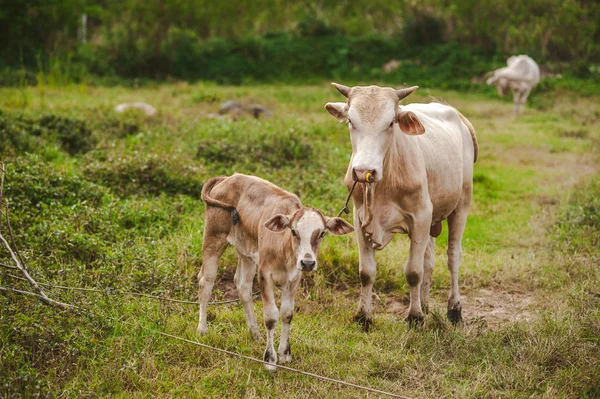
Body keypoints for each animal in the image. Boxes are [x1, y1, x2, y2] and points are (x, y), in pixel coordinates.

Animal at [326, 83, 476, 328]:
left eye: (390, 123)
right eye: (350, 120)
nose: (363, 170)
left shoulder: (421, 217)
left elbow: (413, 272)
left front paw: (414, 317)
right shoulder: (359, 219)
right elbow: (366, 272)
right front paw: (363, 316)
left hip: (461, 204)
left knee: (453, 257)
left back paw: (454, 309)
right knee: (429, 260)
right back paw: (424, 303)